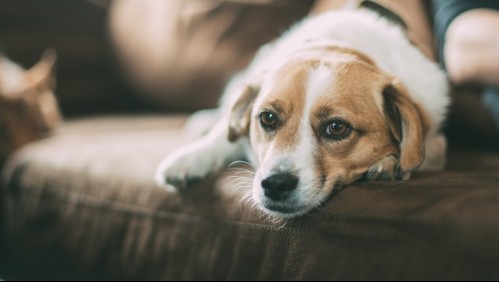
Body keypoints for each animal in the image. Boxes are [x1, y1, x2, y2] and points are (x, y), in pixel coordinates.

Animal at [154, 6, 452, 218]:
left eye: (337, 127)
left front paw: (389, 163)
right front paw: (191, 158)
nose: (275, 184)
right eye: (268, 118)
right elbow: (223, 135)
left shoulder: (435, 142)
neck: (337, 46)